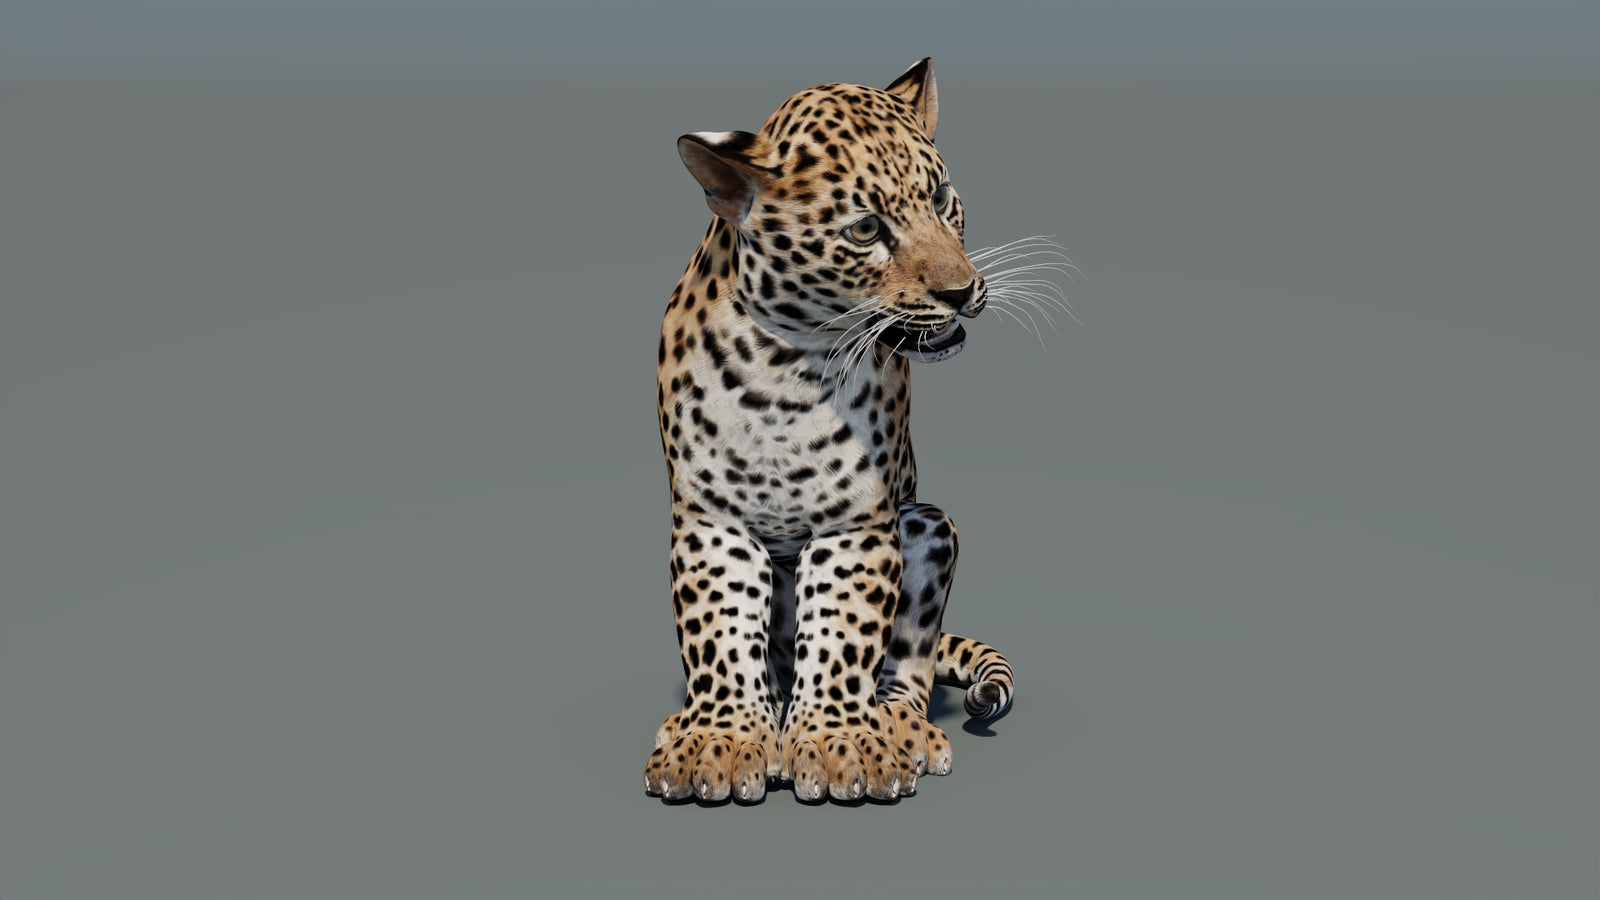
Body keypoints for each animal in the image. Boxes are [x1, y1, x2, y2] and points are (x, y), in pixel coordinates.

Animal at [645, 59, 1022, 804]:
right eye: (864, 230)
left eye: (941, 198)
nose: (961, 291)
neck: (785, 372)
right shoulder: (711, 518)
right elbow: (720, 629)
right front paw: (719, 739)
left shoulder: (856, 522)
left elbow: (845, 632)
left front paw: (838, 743)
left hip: (928, 525)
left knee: (908, 664)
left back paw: (901, 730)